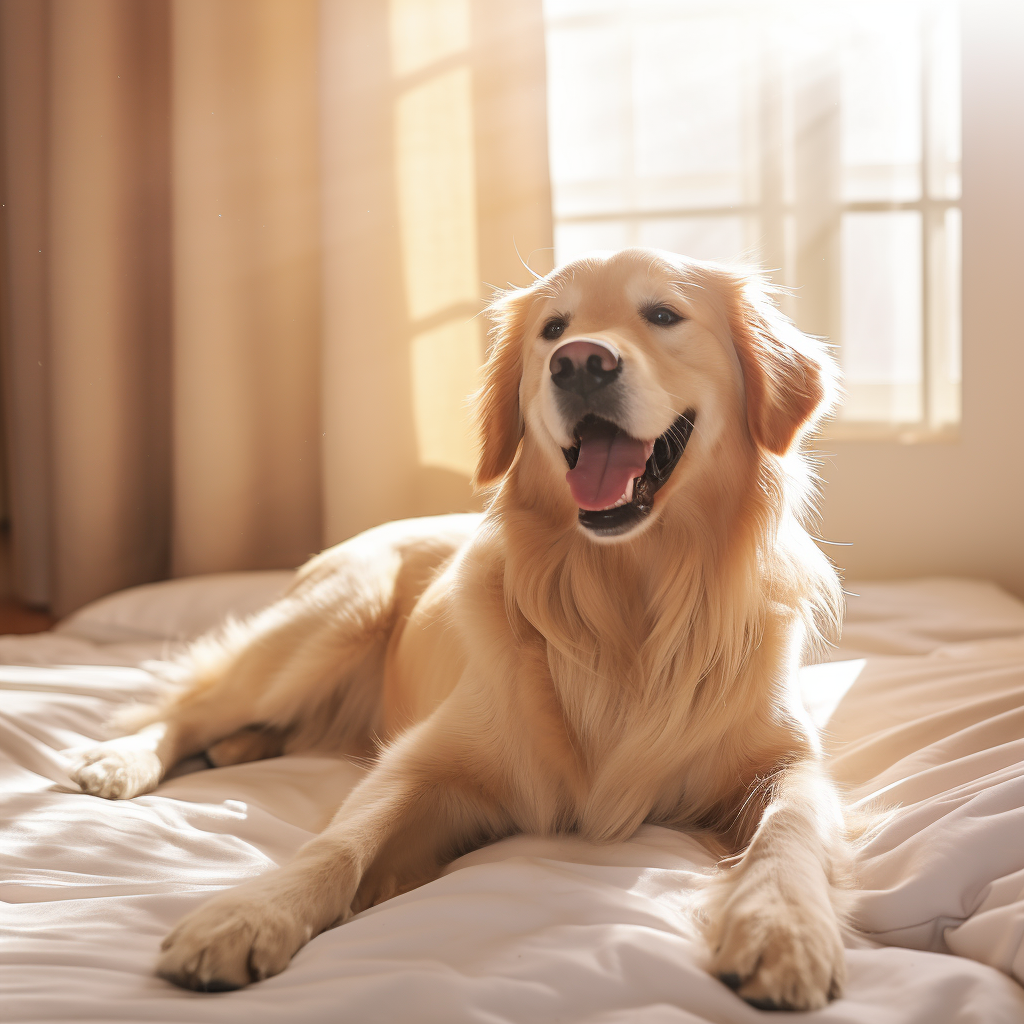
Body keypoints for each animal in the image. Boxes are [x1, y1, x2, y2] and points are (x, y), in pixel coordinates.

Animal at [70, 247, 847, 1007]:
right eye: (554, 331)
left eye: (663, 315)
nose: (580, 363)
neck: (624, 600)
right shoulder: (427, 761)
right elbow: (341, 841)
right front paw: (249, 913)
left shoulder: (790, 760)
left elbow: (790, 829)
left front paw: (784, 927)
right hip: (328, 624)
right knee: (191, 706)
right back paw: (123, 760)